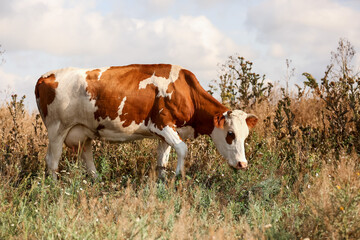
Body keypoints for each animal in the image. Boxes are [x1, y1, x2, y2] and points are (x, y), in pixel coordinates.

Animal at [35, 64, 258, 180]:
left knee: (87, 158)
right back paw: (54, 188)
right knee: (52, 161)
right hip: (56, 130)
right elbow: (183, 149)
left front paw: (163, 182)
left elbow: (162, 162)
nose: (243, 164)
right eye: (230, 134)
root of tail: (45, 76)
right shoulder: (162, 124)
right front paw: (178, 177)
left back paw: (98, 182)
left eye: (246, 136)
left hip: (83, 133)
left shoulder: (166, 135)